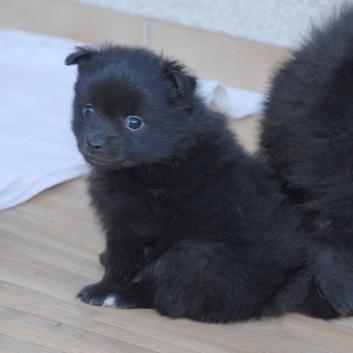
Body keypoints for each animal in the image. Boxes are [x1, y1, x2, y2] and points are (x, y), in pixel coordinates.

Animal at [66, 44, 336, 322]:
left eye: (134, 122)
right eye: (88, 110)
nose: (94, 143)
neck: (164, 156)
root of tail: (282, 289)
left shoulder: (133, 227)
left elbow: (121, 264)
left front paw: (102, 290)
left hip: (194, 256)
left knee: (169, 294)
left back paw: (125, 296)